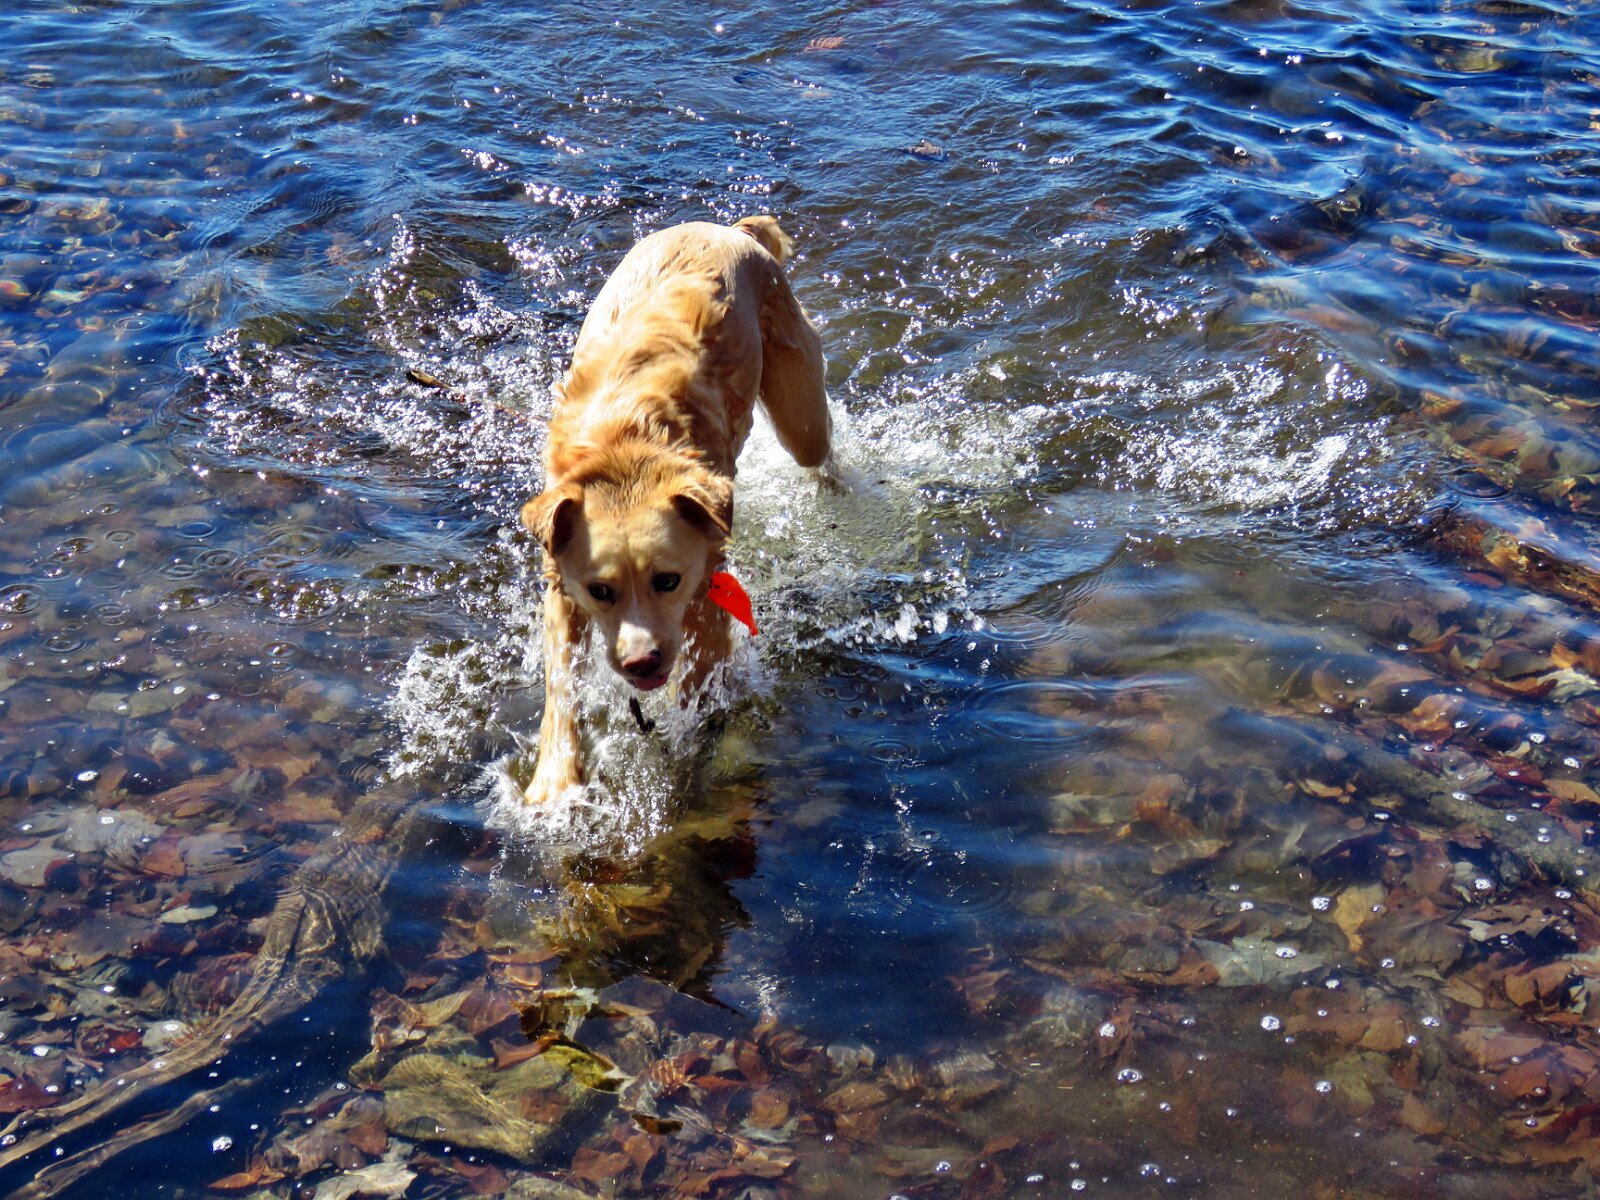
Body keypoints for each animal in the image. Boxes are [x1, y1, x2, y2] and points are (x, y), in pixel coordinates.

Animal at [519, 215, 831, 807]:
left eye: (668, 580)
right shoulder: (562, 585)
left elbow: (697, 685)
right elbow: (561, 682)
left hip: (798, 401)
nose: (641, 662)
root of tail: (731, 228)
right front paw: (556, 780)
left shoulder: (707, 590)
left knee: (820, 453)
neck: (626, 455)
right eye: (600, 590)